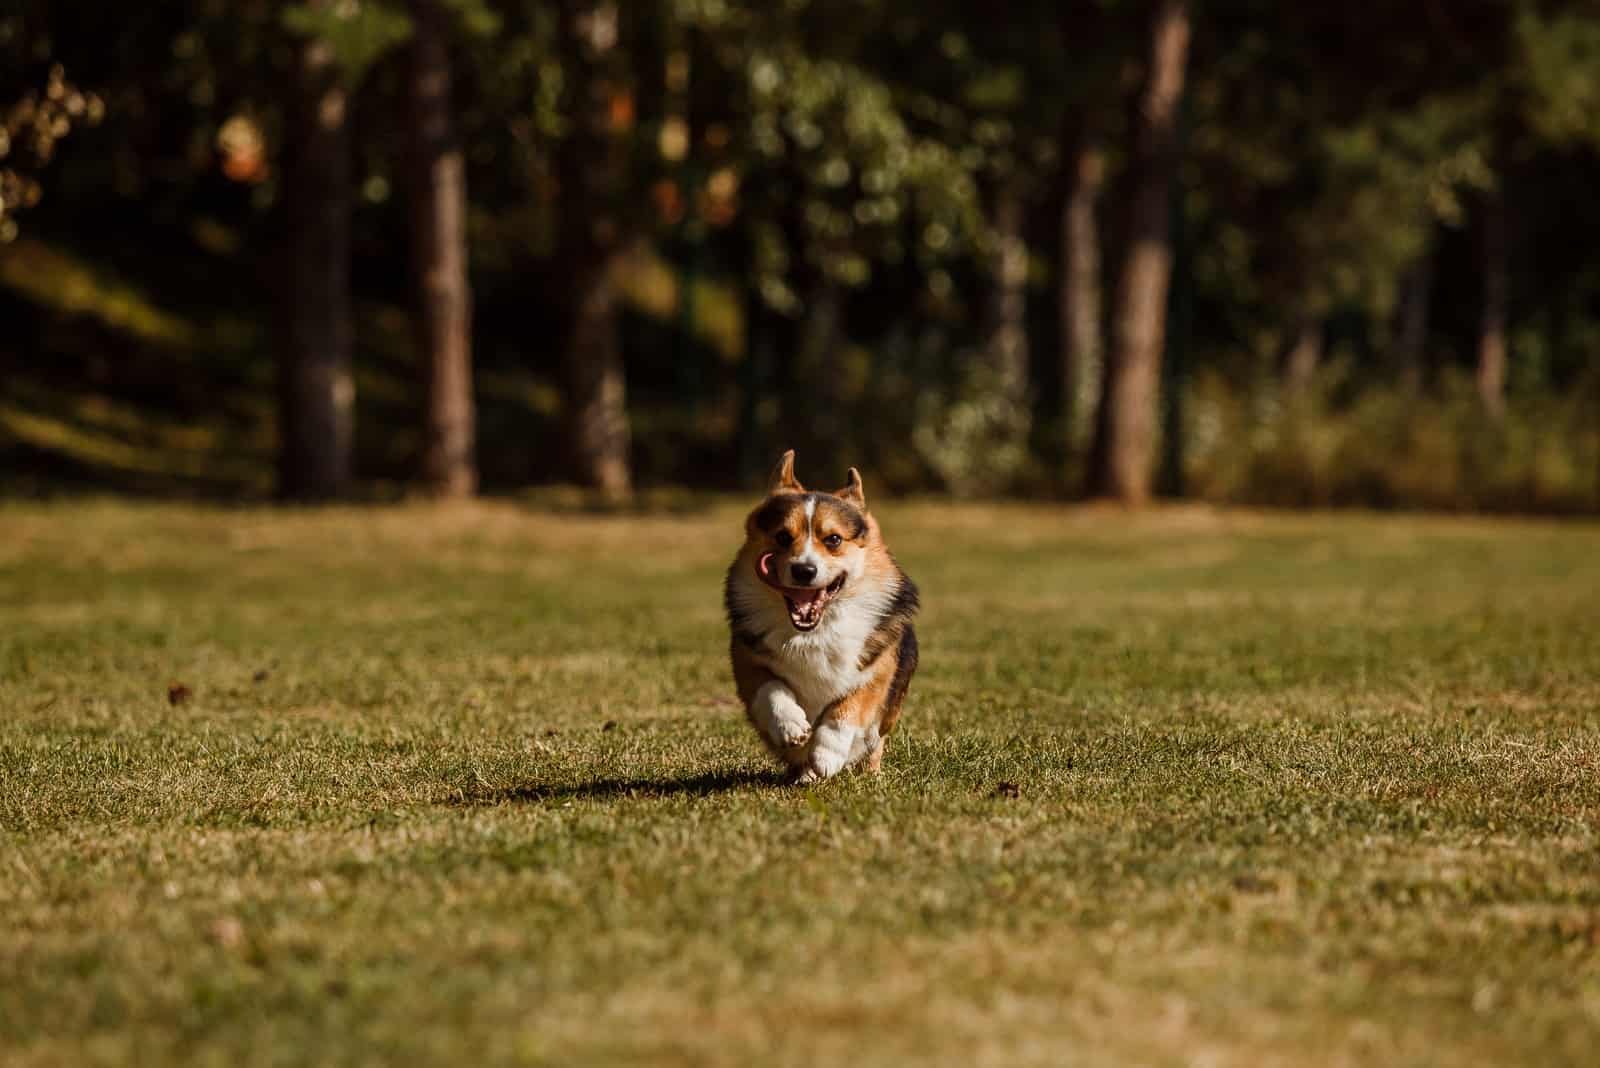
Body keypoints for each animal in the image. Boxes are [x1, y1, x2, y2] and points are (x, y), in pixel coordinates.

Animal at [723, 450, 915, 783]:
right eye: (782, 537)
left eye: (834, 540)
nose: (804, 570)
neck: (814, 629)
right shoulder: (747, 659)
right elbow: (770, 688)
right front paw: (790, 726)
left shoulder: (876, 670)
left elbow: (848, 707)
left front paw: (827, 754)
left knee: (876, 740)